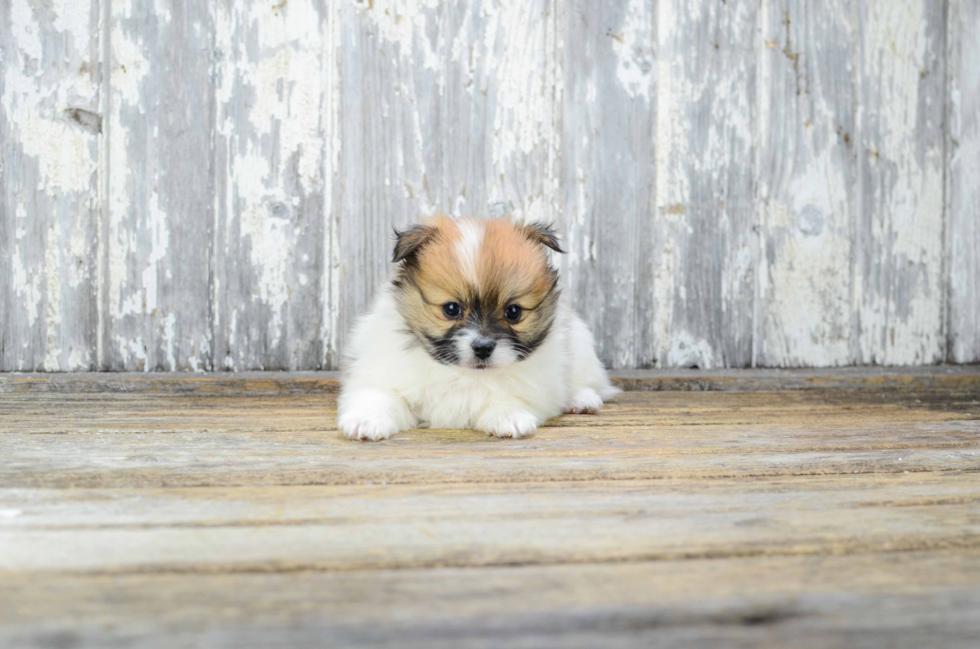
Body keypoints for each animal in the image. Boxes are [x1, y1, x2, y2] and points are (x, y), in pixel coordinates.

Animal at [336, 214, 620, 440]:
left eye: (513, 312)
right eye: (451, 309)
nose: (483, 347)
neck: (463, 374)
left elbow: (508, 397)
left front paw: (509, 415)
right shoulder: (381, 373)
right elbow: (380, 396)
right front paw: (367, 420)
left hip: (580, 346)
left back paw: (582, 399)